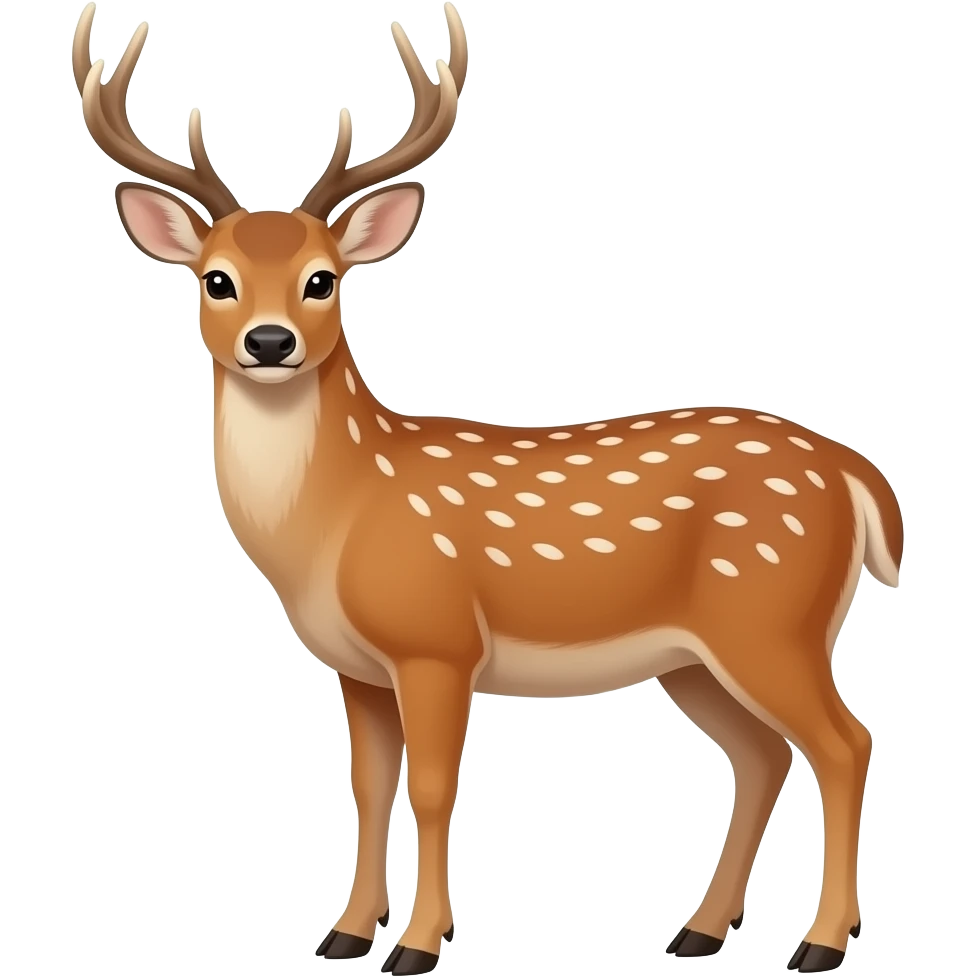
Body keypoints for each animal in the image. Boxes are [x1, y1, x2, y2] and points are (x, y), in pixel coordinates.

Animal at [72, 2, 903, 973]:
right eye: (216, 279)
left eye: (322, 278)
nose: (270, 342)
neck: (335, 522)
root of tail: (853, 473)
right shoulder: (357, 665)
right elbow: (367, 785)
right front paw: (345, 932)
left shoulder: (436, 640)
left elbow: (434, 787)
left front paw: (418, 944)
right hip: (695, 655)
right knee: (763, 754)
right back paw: (698, 930)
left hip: (772, 614)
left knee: (844, 743)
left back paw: (820, 942)